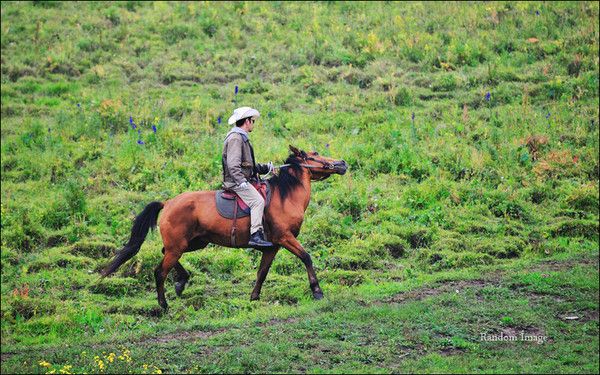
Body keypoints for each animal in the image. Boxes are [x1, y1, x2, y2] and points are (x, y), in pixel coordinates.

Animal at [102, 147, 346, 312]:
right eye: (315, 155)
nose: (342, 163)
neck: (285, 196)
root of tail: (168, 203)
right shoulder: (285, 238)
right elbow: (306, 257)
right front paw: (317, 291)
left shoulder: (272, 247)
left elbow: (262, 272)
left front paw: (254, 297)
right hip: (180, 246)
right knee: (160, 271)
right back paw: (164, 304)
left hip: (193, 243)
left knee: (165, 256)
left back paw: (181, 282)